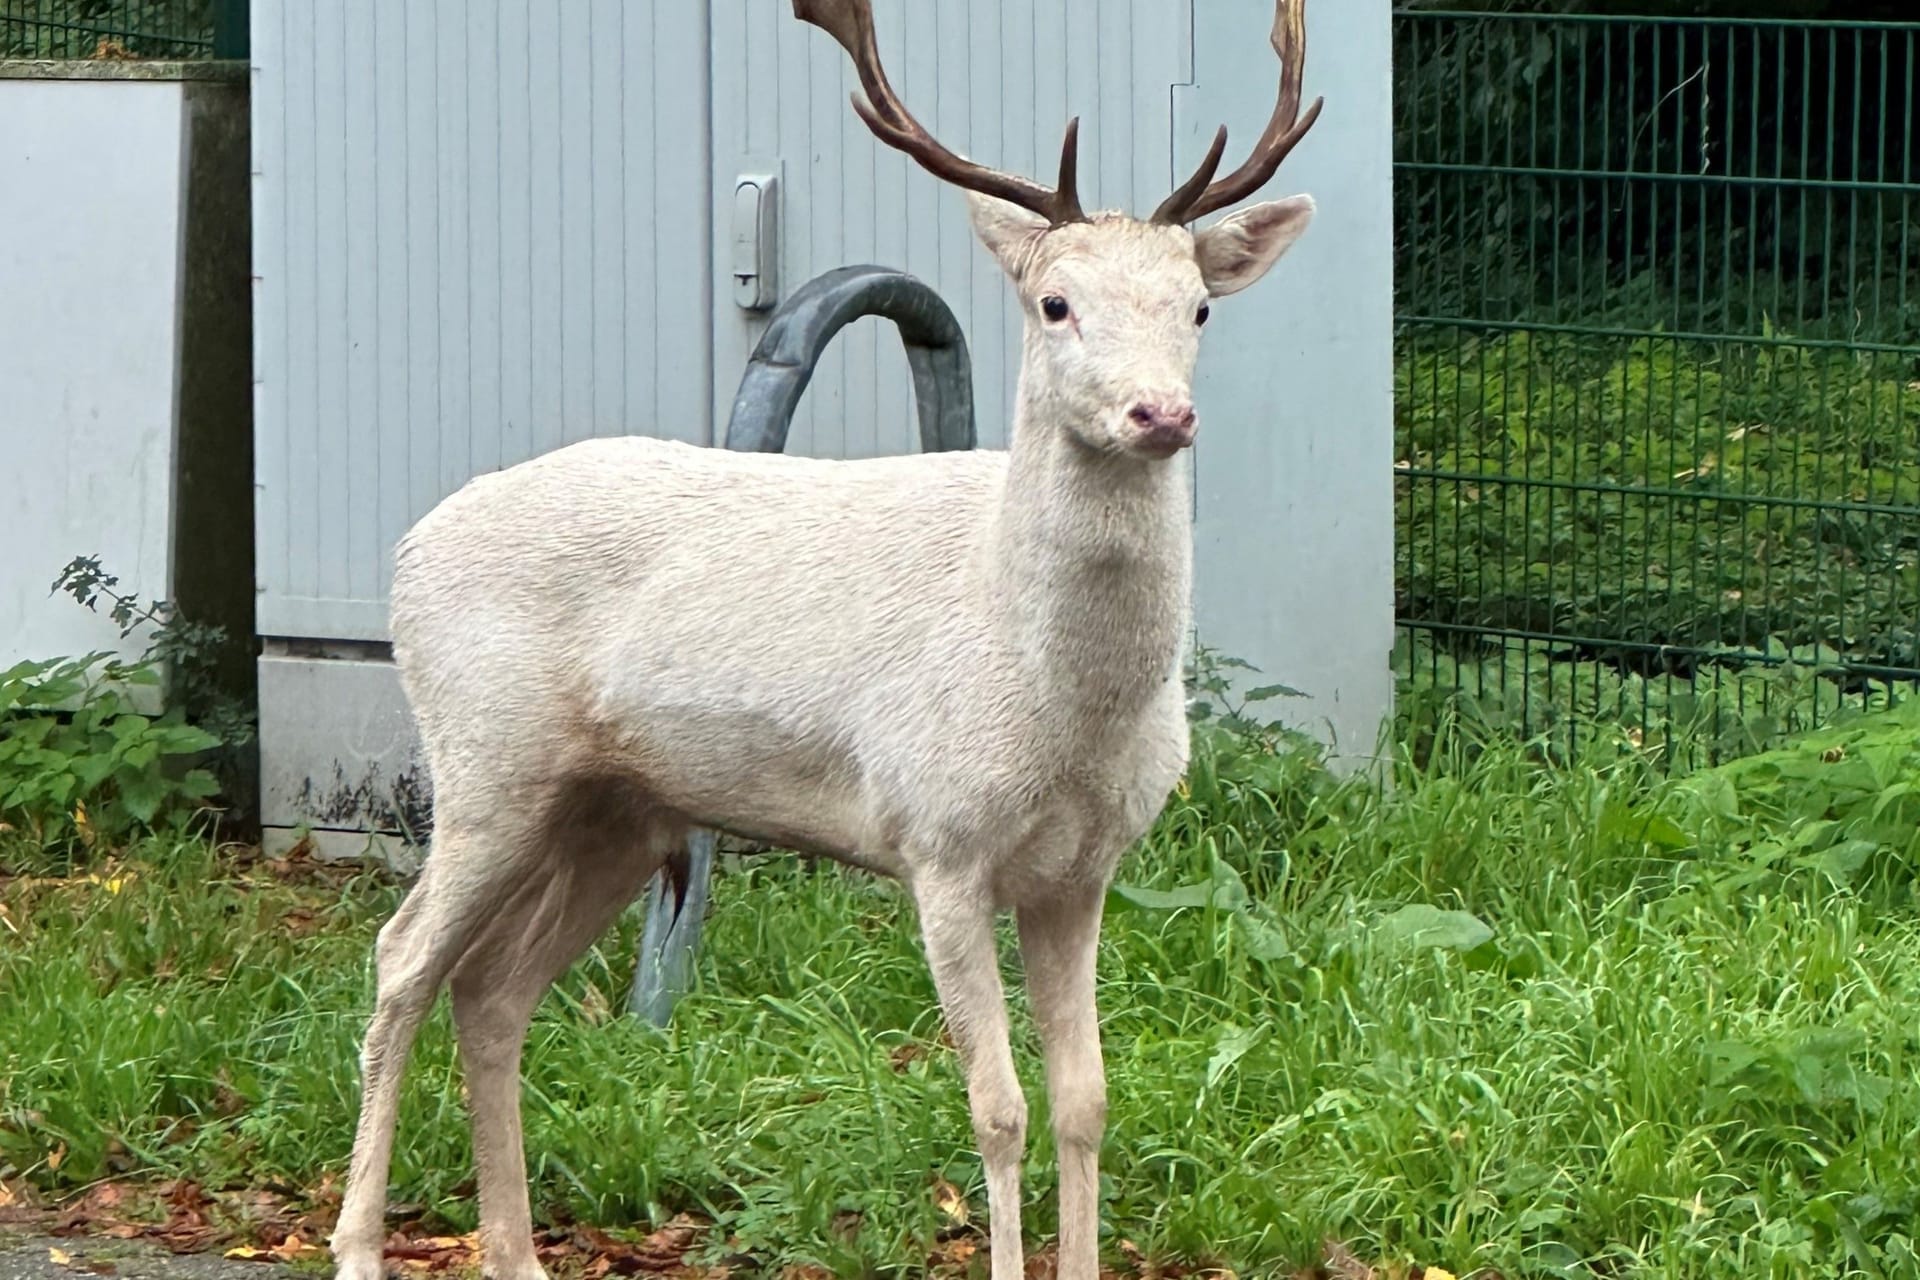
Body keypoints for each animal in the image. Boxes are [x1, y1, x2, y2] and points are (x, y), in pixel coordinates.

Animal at [330, 2, 1320, 1280]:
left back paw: (515, 1250)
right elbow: (997, 1105)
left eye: (1198, 305)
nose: (1161, 412)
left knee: (493, 988)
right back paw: (358, 1244)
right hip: (485, 755)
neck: (1059, 708)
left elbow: (1087, 1099)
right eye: (1054, 303)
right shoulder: (939, 838)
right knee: (403, 958)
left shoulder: (1085, 868)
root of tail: (406, 553)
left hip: (614, 805)